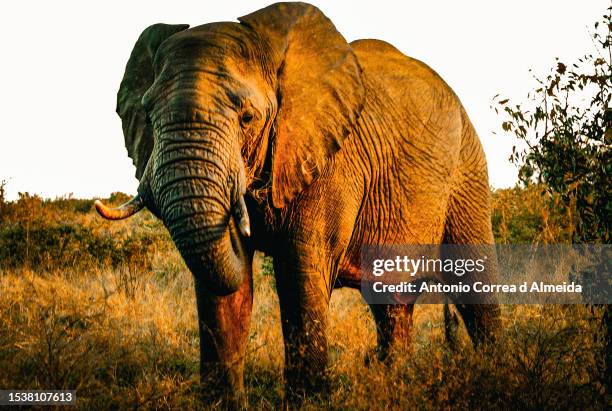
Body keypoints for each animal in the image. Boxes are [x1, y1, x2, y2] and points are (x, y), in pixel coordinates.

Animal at [94, 2, 498, 408]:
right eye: (148, 116)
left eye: (248, 118)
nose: (250, 208)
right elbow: (223, 291)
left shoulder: (329, 160)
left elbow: (299, 273)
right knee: (391, 301)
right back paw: (393, 383)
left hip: (468, 170)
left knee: (473, 283)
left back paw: (495, 371)